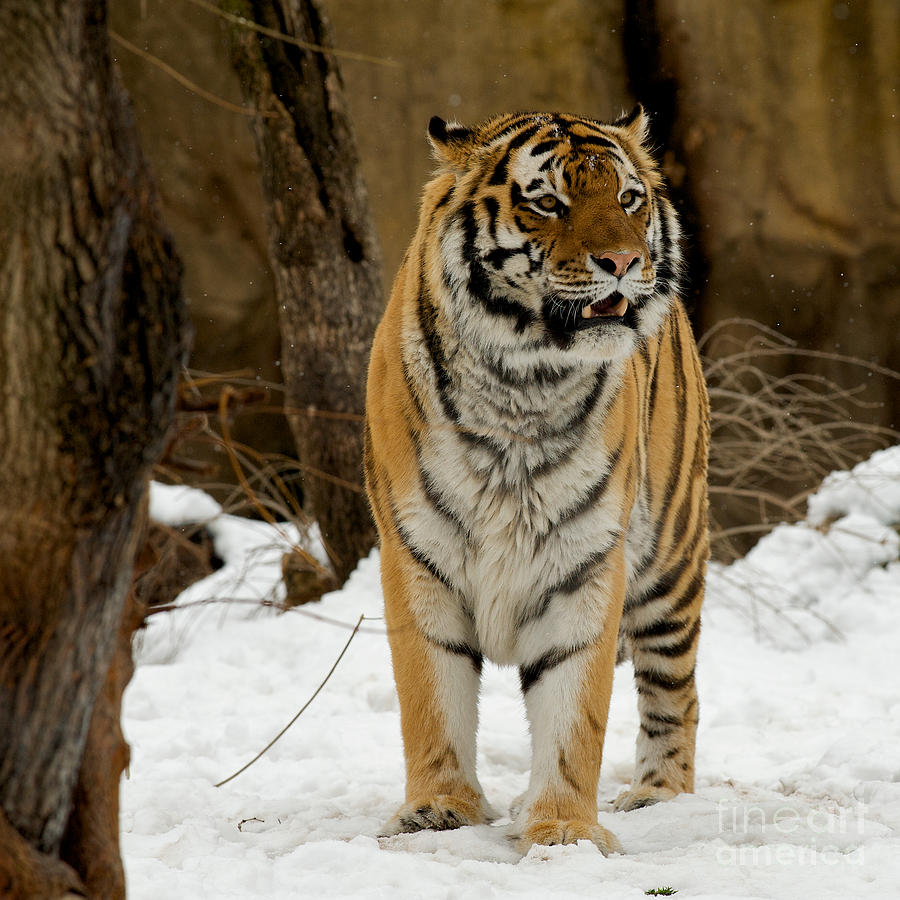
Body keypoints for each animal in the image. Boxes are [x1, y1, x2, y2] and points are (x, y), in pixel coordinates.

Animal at [362, 105, 708, 852]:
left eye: (628, 199)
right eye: (549, 202)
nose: (625, 263)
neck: (523, 383)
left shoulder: (585, 560)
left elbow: (575, 711)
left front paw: (564, 830)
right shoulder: (417, 555)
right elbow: (431, 697)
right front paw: (438, 810)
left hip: (671, 560)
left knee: (675, 690)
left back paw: (660, 795)